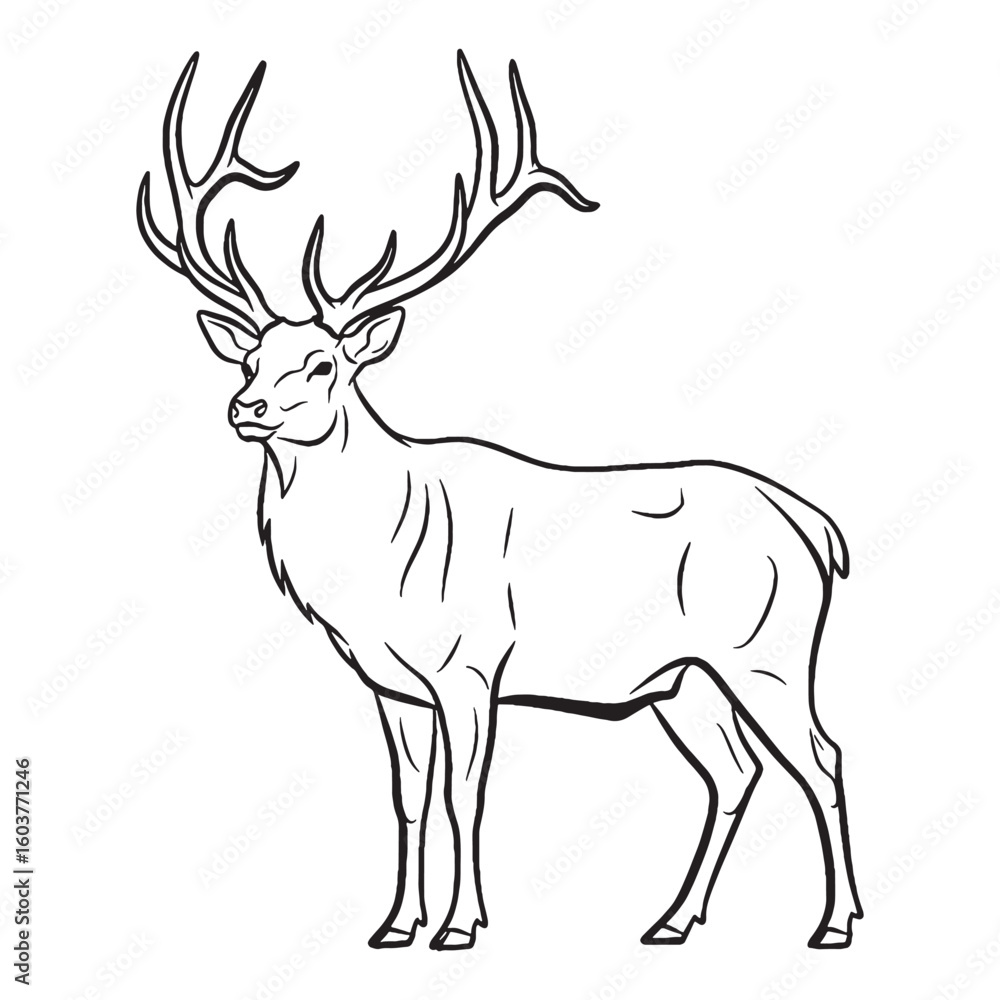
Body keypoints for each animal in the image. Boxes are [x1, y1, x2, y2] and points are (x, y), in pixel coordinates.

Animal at [138, 50, 862, 952]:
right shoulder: (391, 683)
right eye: (251, 361)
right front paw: (394, 925)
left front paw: (460, 925)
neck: (373, 568)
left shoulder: (474, 663)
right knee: (737, 772)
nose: (249, 410)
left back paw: (836, 923)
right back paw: (672, 921)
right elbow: (409, 796)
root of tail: (817, 526)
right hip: (685, 679)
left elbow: (464, 795)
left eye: (324, 365)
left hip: (769, 649)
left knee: (822, 757)